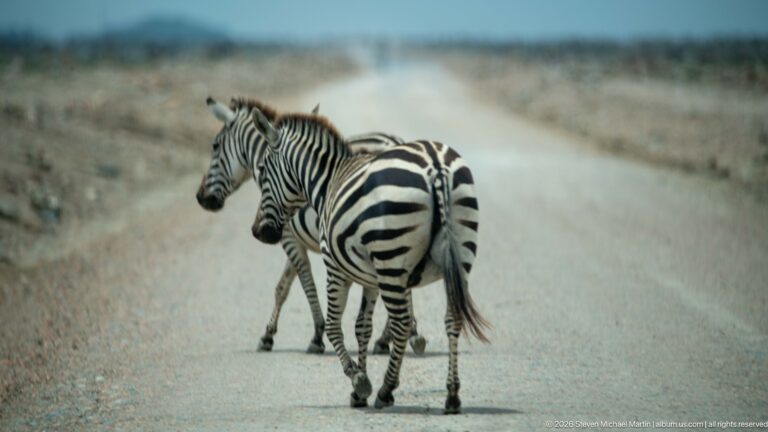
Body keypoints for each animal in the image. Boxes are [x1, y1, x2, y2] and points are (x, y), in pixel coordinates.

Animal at [196, 96, 428, 355]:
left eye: (215, 146)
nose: (201, 198)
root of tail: (395, 141)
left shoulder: (288, 237)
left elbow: (302, 283)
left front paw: (314, 335)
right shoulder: (294, 238)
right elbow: (284, 285)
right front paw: (270, 334)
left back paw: (397, 337)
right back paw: (395, 337)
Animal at [250, 108, 488, 414]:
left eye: (263, 170)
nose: (258, 231)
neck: (327, 184)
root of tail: (434, 165)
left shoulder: (335, 267)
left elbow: (334, 325)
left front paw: (359, 381)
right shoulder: (370, 277)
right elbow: (362, 326)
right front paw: (359, 389)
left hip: (391, 259)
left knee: (401, 323)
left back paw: (386, 391)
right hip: (459, 254)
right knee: (452, 317)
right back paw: (452, 395)